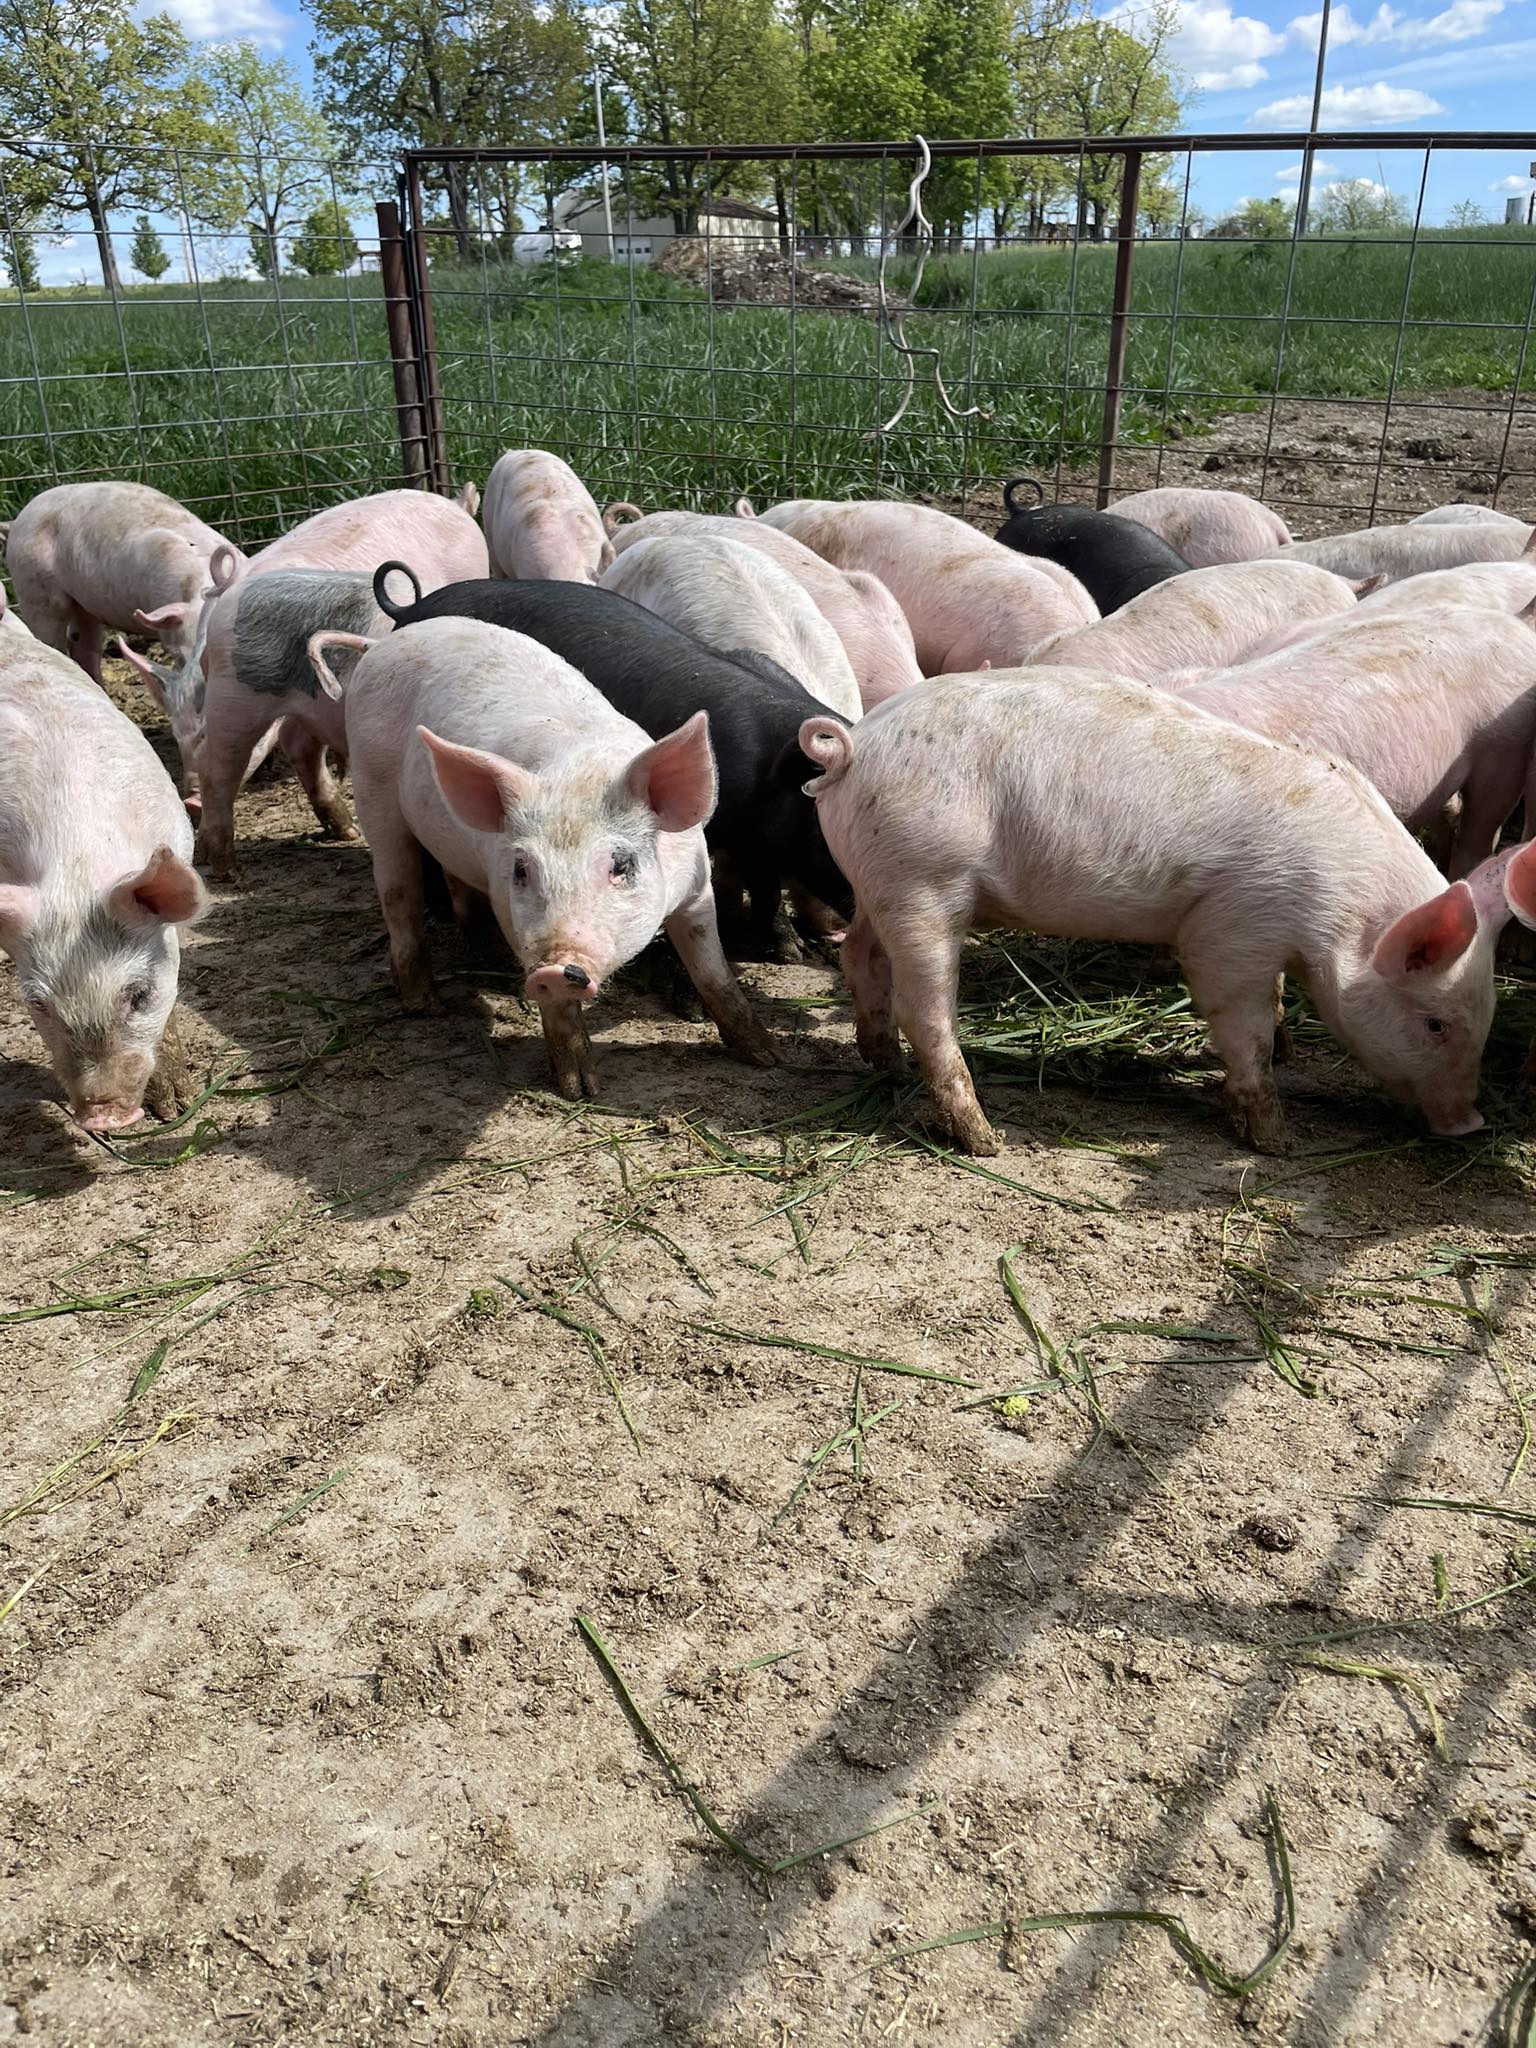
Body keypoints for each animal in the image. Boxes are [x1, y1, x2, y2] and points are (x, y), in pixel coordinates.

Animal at [151, 490, 487, 879]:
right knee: (220, 768)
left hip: (298, 703)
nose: (187, 801)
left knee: (298, 746)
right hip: (236, 699)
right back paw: (228, 869)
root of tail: (234, 591)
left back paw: (346, 831)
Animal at [328, 615, 777, 1097]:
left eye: (620, 865)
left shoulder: (697, 890)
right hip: (373, 791)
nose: (555, 968)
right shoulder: (510, 908)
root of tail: (380, 645)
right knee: (399, 894)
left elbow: (714, 972)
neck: (584, 775)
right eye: (522, 869)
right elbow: (561, 1013)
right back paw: (424, 1004)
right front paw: (580, 1090)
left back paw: (486, 959)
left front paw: (766, 1057)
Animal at [370, 564, 853, 958]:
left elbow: (765, 886)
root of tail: (412, 606)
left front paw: (785, 950)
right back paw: (439, 912)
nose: (841, 930)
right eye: (822, 828)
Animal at [800, 670, 1522, 1156]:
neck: (1342, 905)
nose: (1470, 1123)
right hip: (923, 876)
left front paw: (1287, 1051)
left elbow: (1275, 1008)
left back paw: (883, 1063)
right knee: (924, 1008)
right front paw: (1276, 1142)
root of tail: (851, 749)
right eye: (1435, 1024)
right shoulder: (1232, 928)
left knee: (860, 956)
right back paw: (985, 1138)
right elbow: (1242, 1024)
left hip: (881, 880)